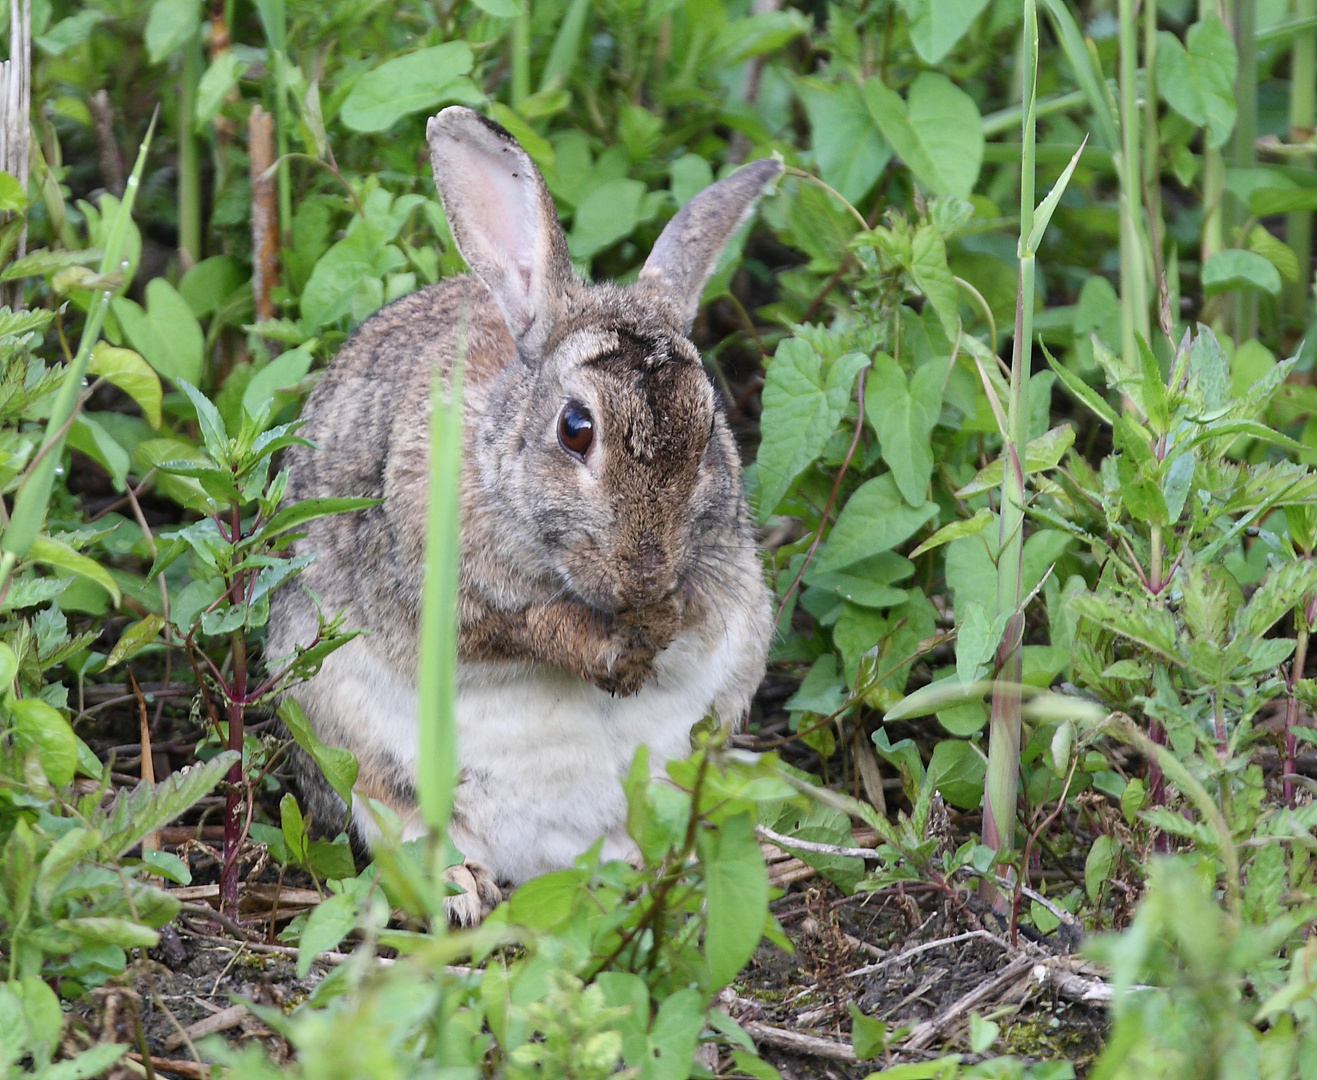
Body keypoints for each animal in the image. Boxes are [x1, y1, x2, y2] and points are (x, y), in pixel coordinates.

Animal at [267, 105, 779, 921]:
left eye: (708, 433)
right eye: (576, 429)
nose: (644, 575)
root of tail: (541, 858)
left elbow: (695, 621)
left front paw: (655, 627)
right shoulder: (440, 588)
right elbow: (516, 629)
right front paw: (612, 652)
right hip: (336, 719)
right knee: (396, 817)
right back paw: (460, 890)